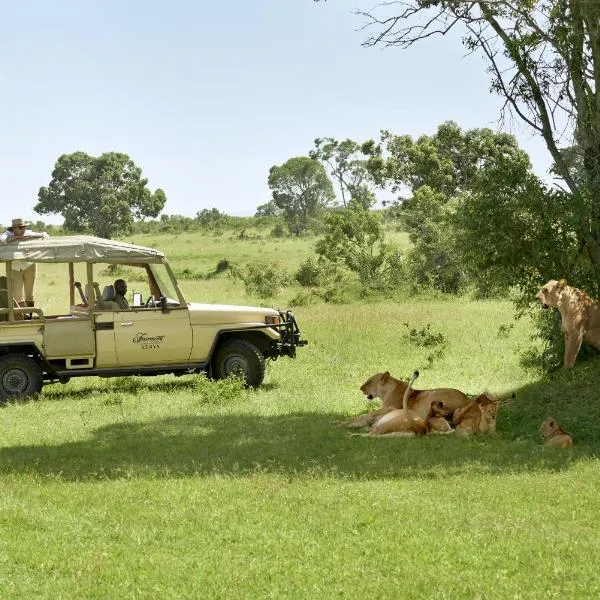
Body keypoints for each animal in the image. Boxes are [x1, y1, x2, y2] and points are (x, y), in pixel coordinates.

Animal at [338, 368, 474, 428]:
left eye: (369, 381)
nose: (361, 388)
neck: (385, 393)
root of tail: (468, 400)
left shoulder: (391, 407)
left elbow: (367, 414)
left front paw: (346, 423)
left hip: (433, 395)